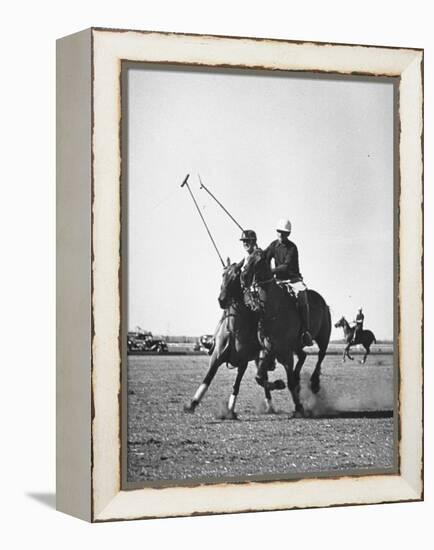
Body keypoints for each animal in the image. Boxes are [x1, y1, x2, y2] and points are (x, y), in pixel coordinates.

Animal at [184, 260, 284, 420]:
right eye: (223, 274)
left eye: (237, 276)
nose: (222, 300)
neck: (234, 330)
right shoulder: (216, 358)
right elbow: (207, 378)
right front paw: (192, 404)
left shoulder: (243, 362)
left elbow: (236, 385)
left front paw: (230, 410)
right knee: (262, 378)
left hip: (260, 356)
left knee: (262, 378)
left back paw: (272, 401)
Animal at [241, 251, 332, 418]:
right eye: (247, 258)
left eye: (259, 260)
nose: (243, 277)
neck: (272, 310)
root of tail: (322, 301)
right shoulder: (268, 349)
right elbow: (260, 378)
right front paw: (278, 384)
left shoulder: (286, 352)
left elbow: (289, 382)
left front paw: (299, 407)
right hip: (297, 345)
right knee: (303, 356)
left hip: (323, 336)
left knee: (321, 355)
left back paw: (314, 383)